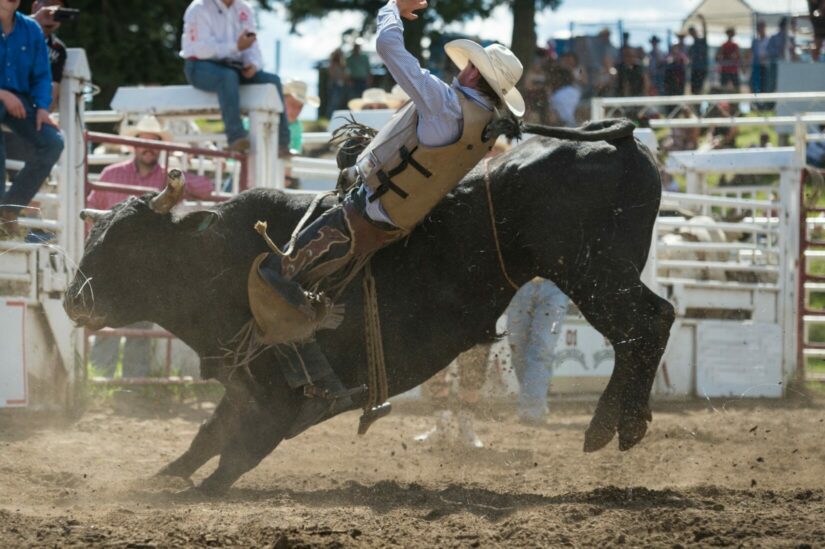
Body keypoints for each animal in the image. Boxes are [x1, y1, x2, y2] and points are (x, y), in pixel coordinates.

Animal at [62, 121, 668, 496]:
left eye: (126, 244)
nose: (72, 300)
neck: (225, 267)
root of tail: (617, 142)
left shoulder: (276, 401)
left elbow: (231, 459)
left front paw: (184, 489)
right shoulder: (245, 384)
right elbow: (204, 439)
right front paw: (160, 476)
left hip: (594, 273)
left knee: (648, 323)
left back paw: (614, 424)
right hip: (598, 274)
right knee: (645, 326)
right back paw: (620, 422)